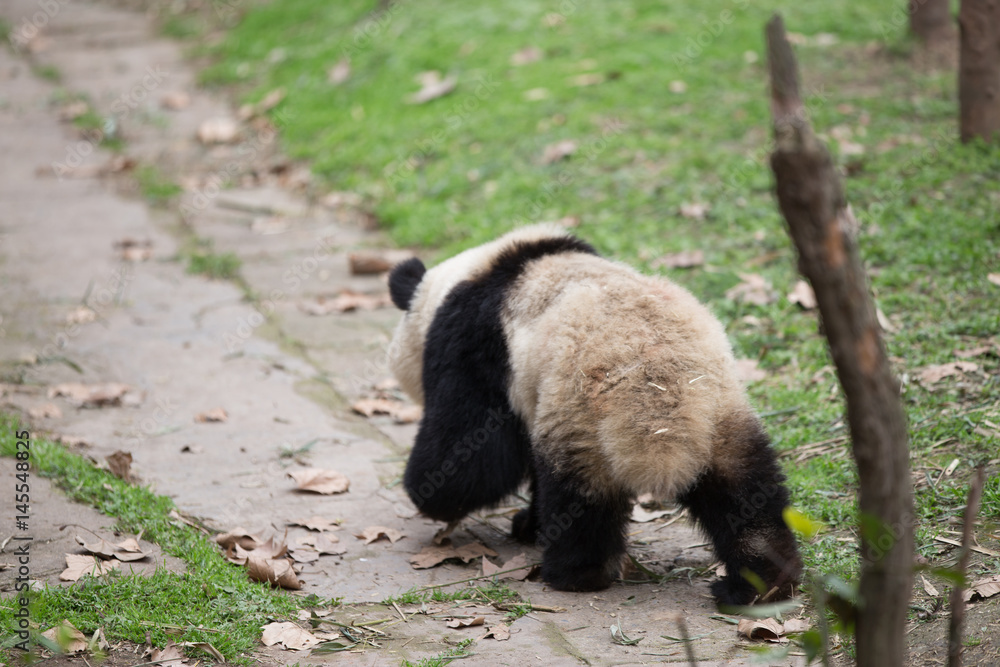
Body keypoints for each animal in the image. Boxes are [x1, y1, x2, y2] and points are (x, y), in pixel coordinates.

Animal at [386, 226, 800, 604]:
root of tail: (662, 401)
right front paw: (527, 525)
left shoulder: (476, 343)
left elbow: (471, 456)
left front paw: (430, 493)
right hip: (722, 413)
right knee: (746, 494)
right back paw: (759, 585)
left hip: (580, 415)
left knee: (580, 499)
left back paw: (575, 573)